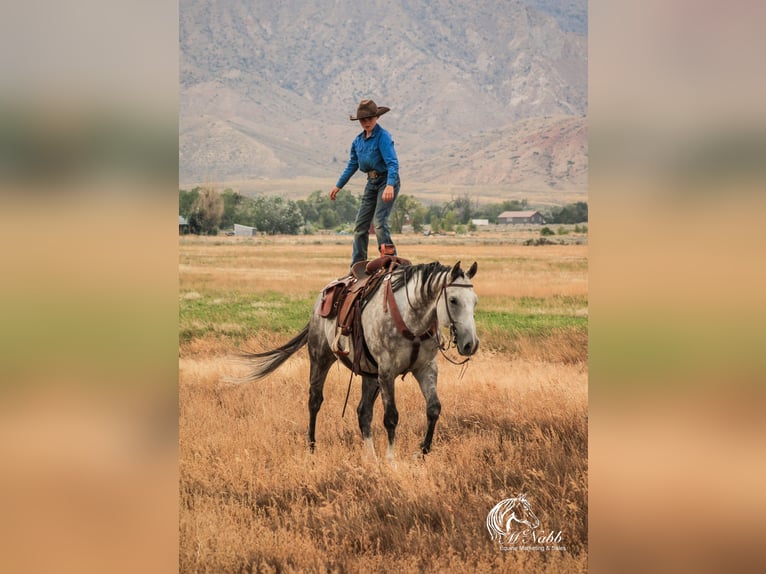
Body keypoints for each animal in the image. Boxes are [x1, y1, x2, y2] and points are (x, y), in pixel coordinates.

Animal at [240, 260, 480, 464]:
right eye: (453, 300)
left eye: (475, 301)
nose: (471, 344)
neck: (412, 318)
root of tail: (321, 298)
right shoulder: (387, 371)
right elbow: (391, 417)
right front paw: (391, 460)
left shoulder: (426, 368)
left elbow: (433, 409)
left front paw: (422, 453)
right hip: (320, 358)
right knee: (315, 401)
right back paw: (312, 447)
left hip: (369, 375)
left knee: (363, 412)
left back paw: (370, 458)